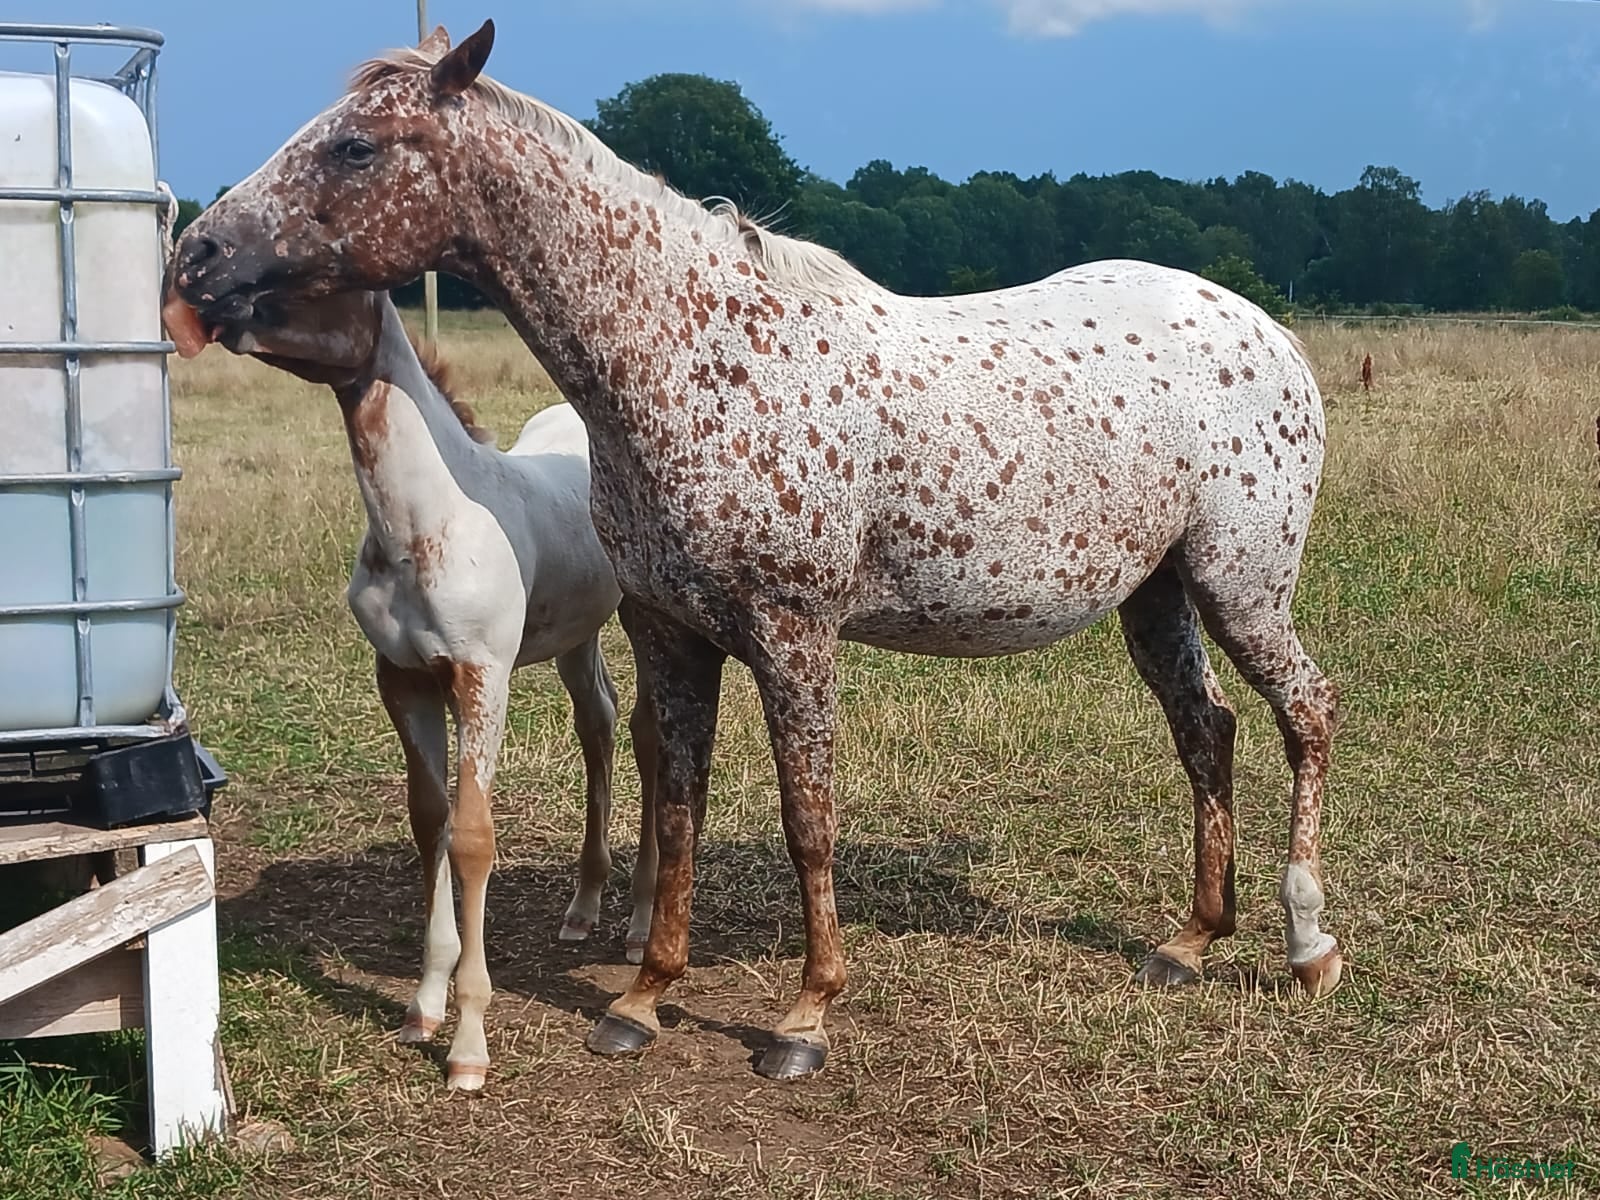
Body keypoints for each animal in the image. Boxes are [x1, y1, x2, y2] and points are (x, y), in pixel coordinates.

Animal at [170, 287, 659, 1089]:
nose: (217, 313)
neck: (428, 527)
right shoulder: (403, 679)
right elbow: (430, 820)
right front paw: (423, 1008)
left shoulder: (482, 675)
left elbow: (473, 836)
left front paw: (468, 1048)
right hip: (576, 633)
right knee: (600, 721)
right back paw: (584, 907)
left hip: (647, 616)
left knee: (654, 738)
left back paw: (642, 926)